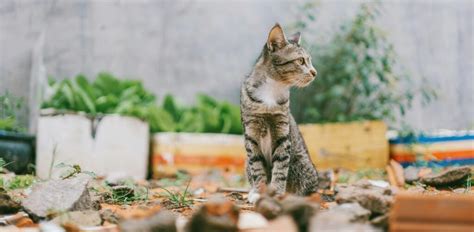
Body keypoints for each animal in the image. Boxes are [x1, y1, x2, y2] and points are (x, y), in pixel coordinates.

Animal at [241, 23, 318, 203]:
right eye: (300, 60)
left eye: (309, 61)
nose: (314, 72)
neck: (271, 90)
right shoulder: (251, 133)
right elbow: (257, 167)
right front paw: (258, 191)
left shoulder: (283, 133)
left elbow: (281, 167)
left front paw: (275, 191)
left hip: (301, 164)